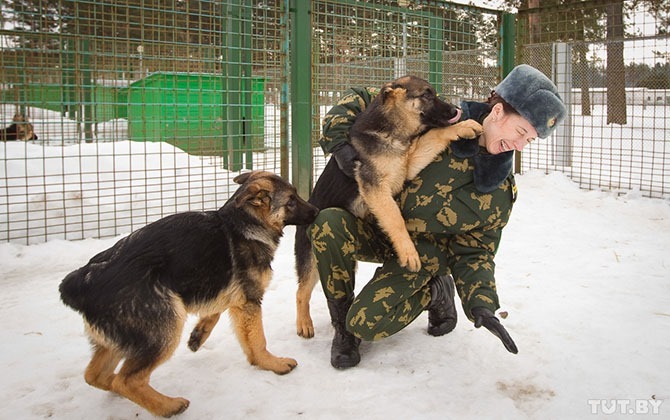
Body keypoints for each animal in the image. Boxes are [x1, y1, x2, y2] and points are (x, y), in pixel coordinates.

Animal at [58, 171, 320, 416]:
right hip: (166, 327)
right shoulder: (249, 300)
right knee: (127, 380)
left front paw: (199, 334)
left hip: (122, 339)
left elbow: (218, 311)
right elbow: (258, 340)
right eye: (291, 200)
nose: (317, 211)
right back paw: (168, 406)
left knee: (96, 375)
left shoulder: (228, 292)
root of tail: (84, 279)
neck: (243, 224)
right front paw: (271, 363)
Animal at [294, 75, 484, 338]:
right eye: (427, 95)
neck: (391, 131)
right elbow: (395, 219)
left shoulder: (406, 167)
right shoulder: (376, 188)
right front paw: (409, 252)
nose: (456, 111)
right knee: (301, 292)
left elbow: (433, 136)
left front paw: (463, 126)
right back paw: (304, 323)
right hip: (310, 259)